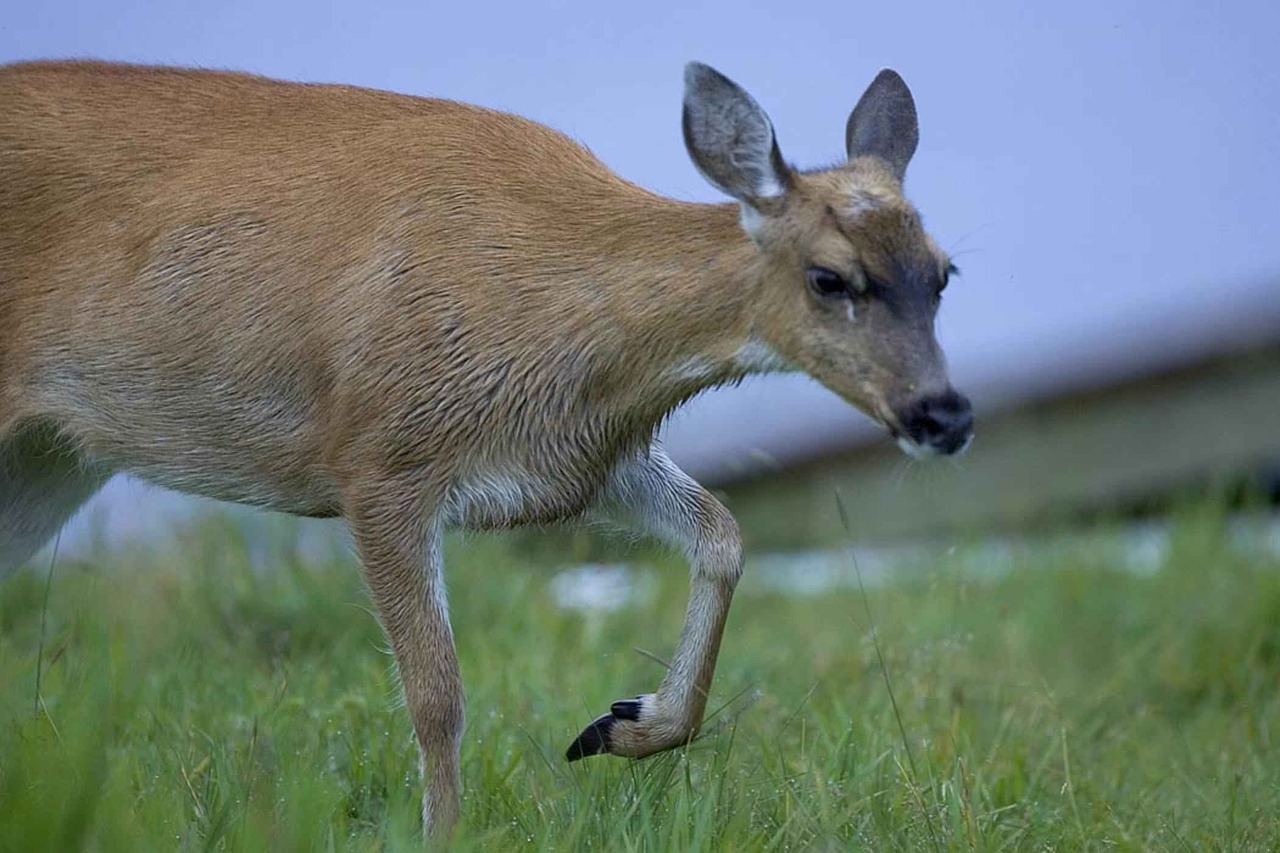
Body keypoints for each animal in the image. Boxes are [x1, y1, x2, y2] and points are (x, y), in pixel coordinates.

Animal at [0, 58, 972, 829]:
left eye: (944, 272)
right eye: (829, 278)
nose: (945, 414)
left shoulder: (583, 460)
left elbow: (725, 535)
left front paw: (621, 723)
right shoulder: (379, 456)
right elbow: (438, 696)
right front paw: (447, 829)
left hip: (49, 459)